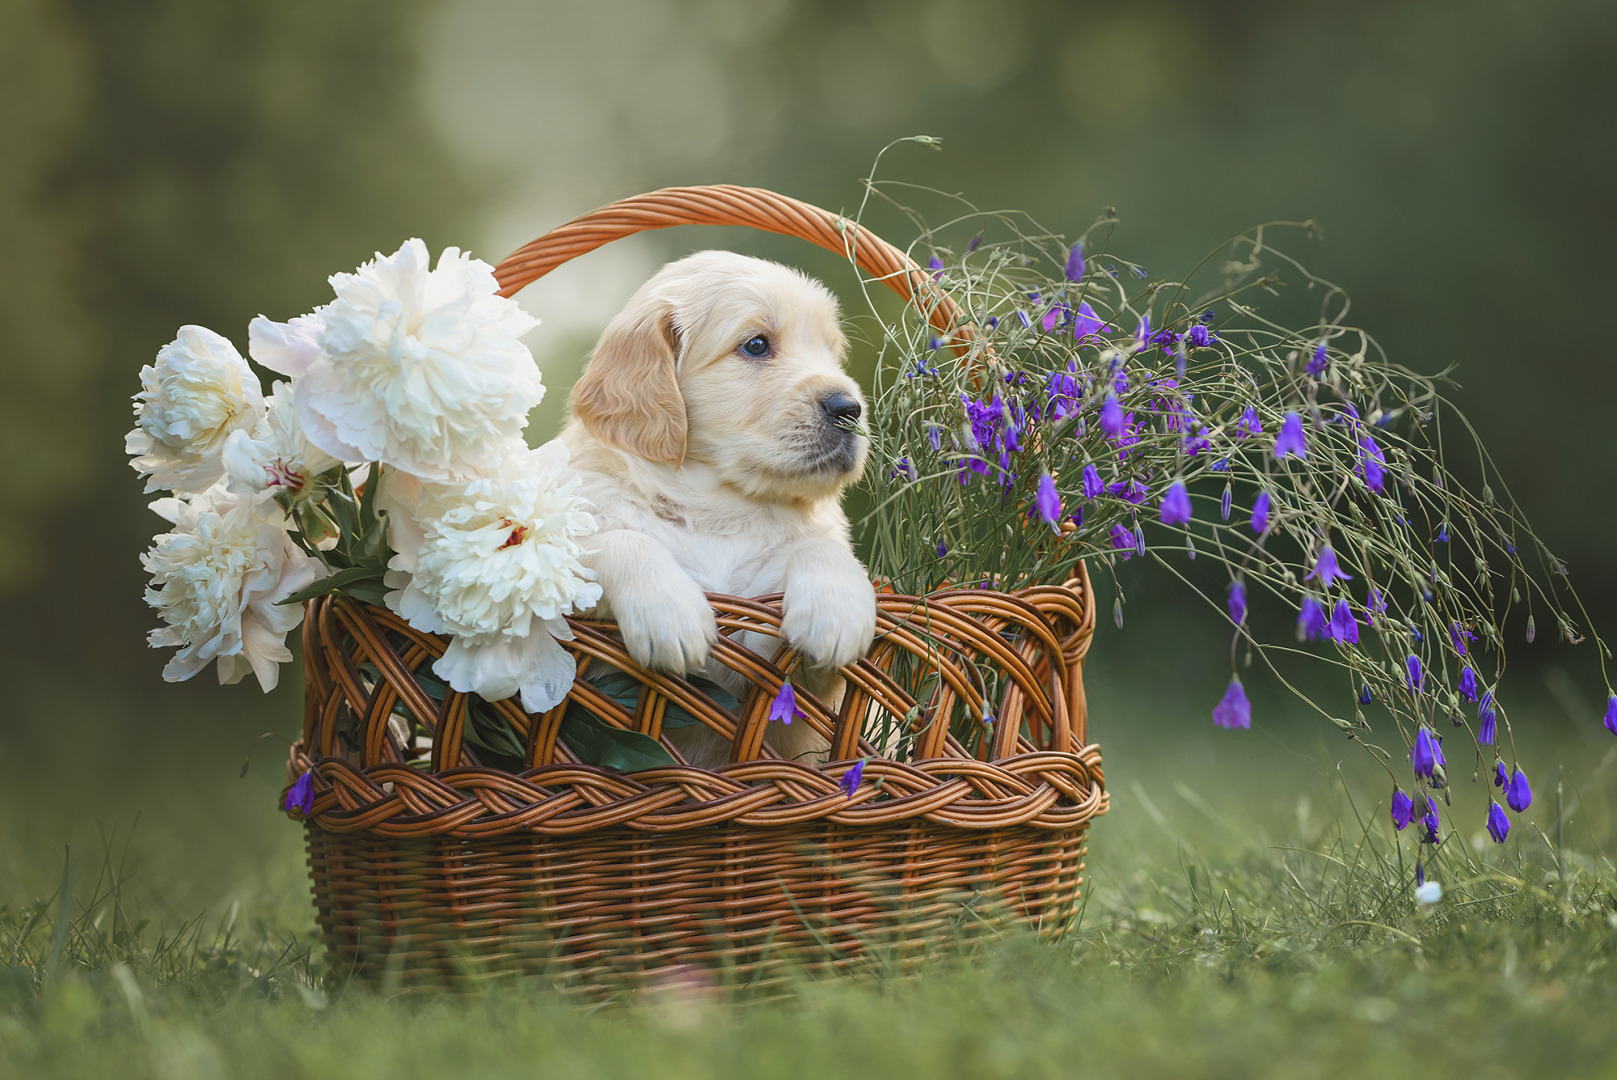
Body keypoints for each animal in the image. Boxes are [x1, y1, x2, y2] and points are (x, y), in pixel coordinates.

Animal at [565, 250, 879, 766]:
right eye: (756, 345)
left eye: (831, 352)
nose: (849, 408)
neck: (717, 507)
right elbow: (618, 539)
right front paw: (670, 613)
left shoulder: (789, 679)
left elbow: (821, 547)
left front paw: (836, 612)